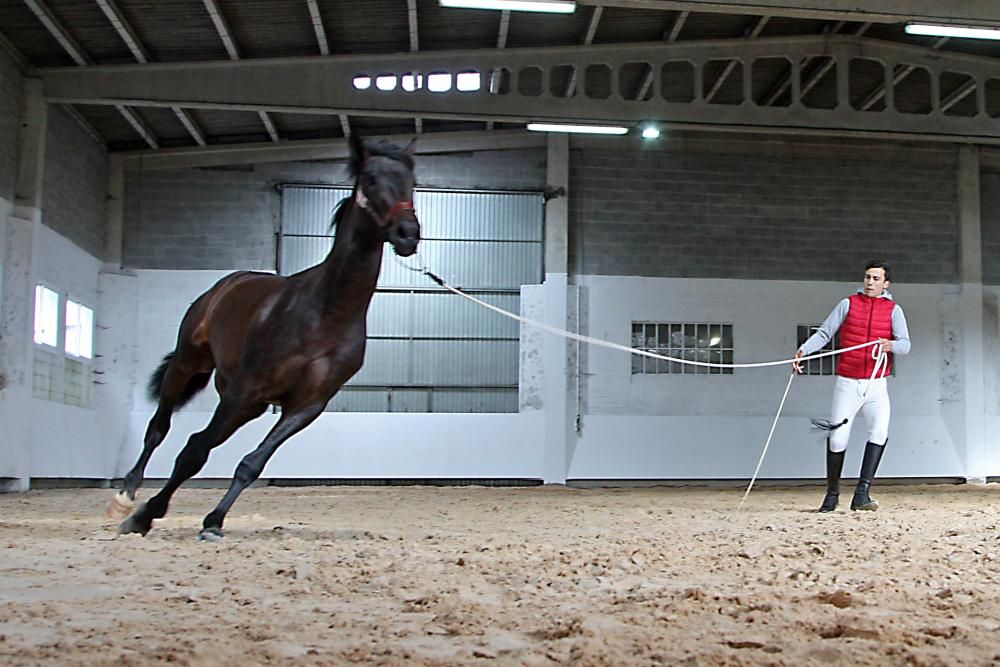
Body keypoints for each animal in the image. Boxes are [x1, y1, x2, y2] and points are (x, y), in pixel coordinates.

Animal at [107, 133, 420, 540]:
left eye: (412, 182)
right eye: (370, 179)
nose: (407, 234)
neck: (324, 314)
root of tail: (227, 284)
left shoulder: (305, 406)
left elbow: (251, 463)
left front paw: (213, 521)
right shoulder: (247, 389)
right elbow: (194, 454)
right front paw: (144, 515)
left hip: (245, 403)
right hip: (191, 366)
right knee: (159, 429)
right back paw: (126, 496)